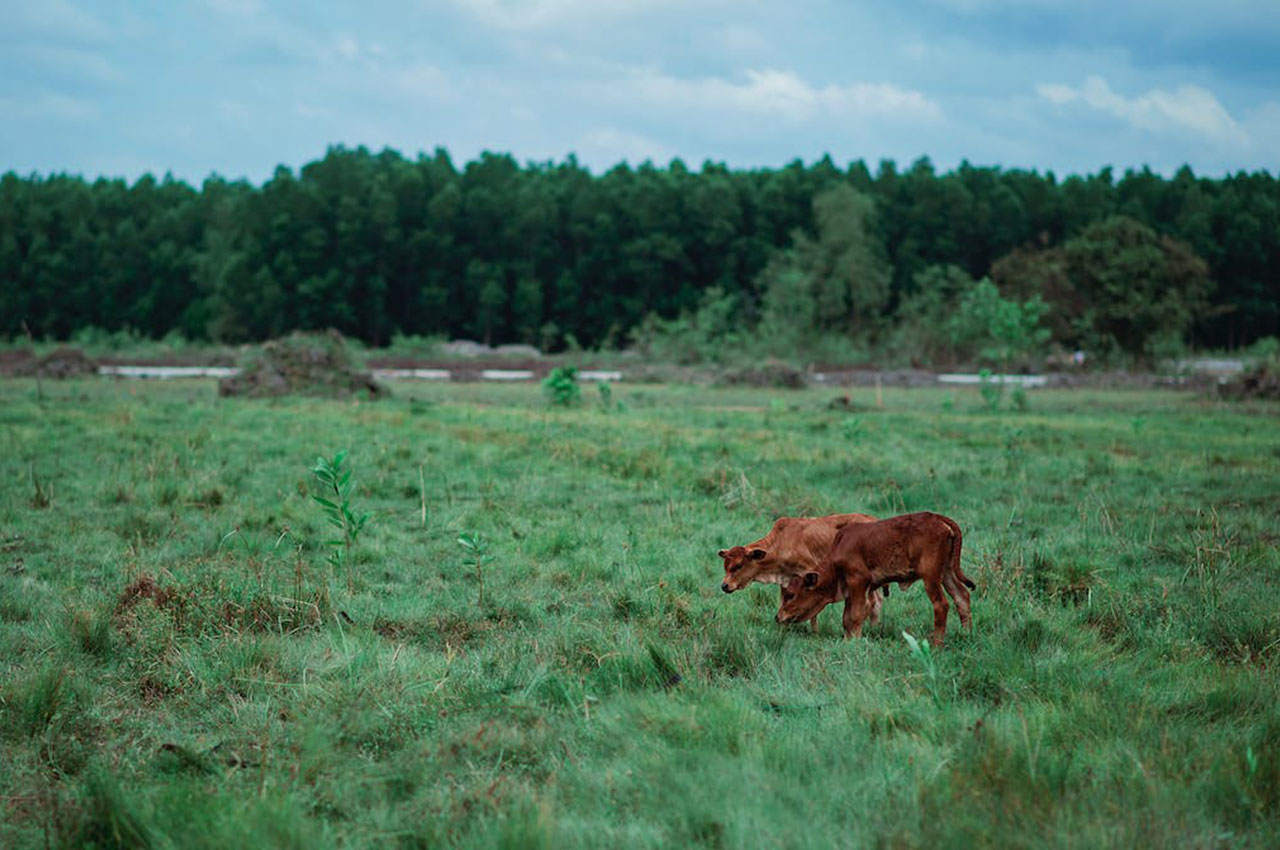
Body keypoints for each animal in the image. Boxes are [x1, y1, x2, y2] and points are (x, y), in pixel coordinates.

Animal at [773, 512, 972, 645]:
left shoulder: (858, 581)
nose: (777, 617)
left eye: (790, 595)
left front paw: (853, 642)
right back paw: (965, 633)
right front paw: (847, 639)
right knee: (961, 596)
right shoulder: (850, 588)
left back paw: (937, 643)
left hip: (931, 576)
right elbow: (846, 618)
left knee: (941, 604)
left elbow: (855, 615)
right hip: (946, 572)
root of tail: (939, 518)